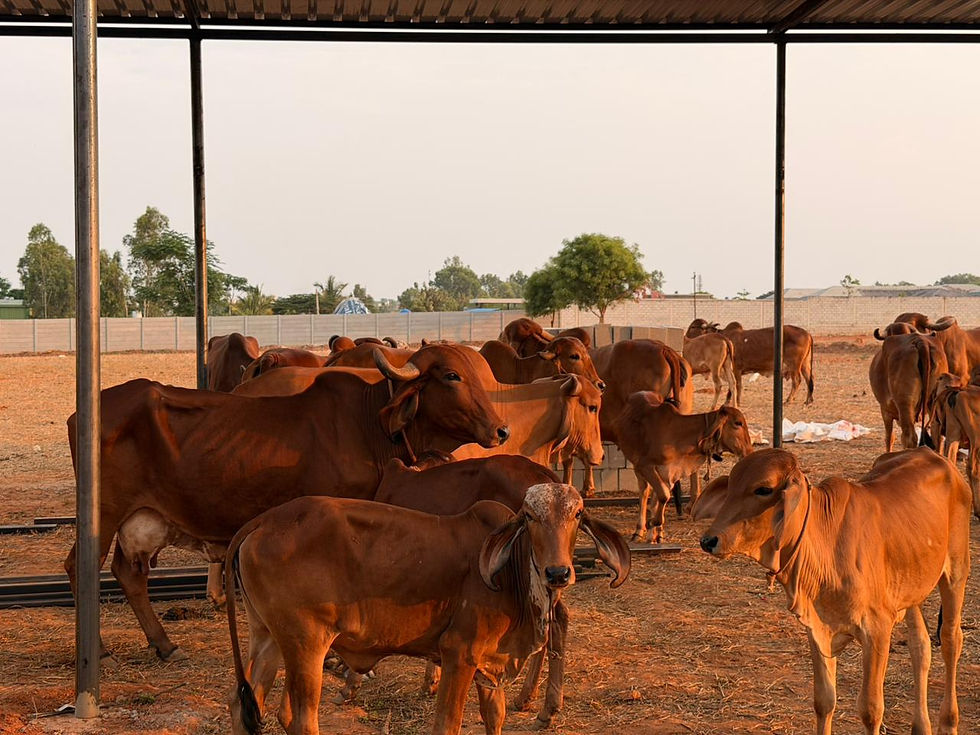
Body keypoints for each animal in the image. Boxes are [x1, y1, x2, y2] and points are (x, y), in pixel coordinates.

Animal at [65, 343, 508, 662]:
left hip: (140, 518)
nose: (501, 430)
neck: (370, 425)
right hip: (103, 514)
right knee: (80, 568)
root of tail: (83, 412)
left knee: (128, 574)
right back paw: (97, 650)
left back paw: (164, 645)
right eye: (451, 376)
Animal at [225, 484, 630, 735]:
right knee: (299, 719)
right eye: (529, 516)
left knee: (243, 707)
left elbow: (495, 718)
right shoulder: (459, 654)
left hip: (268, 637)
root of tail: (262, 521)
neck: (512, 571)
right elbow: (447, 724)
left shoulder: (490, 667)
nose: (558, 572)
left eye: (578, 514)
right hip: (306, 643)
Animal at [615, 393, 752, 542]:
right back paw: (639, 531)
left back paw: (656, 534)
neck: (679, 434)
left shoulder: (669, 473)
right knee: (644, 493)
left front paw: (656, 527)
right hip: (637, 467)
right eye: (738, 423)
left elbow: (661, 497)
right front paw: (651, 522)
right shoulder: (645, 466)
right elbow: (663, 495)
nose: (749, 451)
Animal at [686, 319, 814, 406]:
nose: (686, 337)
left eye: (692, 327)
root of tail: (807, 333)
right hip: (805, 364)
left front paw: (734, 402)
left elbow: (736, 385)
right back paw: (808, 400)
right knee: (809, 379)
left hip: (794, 365)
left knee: (797, 380)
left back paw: (788, 400)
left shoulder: (736, 369)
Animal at [696, 448, 971, 735]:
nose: (709, 540)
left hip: (956, 572)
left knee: (951, 639)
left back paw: (948, 721)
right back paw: (921, 726)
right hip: (911, 589)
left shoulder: (877, 628)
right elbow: (824, 701)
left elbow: (871, 710)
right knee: (921, 647)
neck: (825, 543)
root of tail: (935, 456)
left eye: (763, 489)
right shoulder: (817, 627)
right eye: (731, 486)